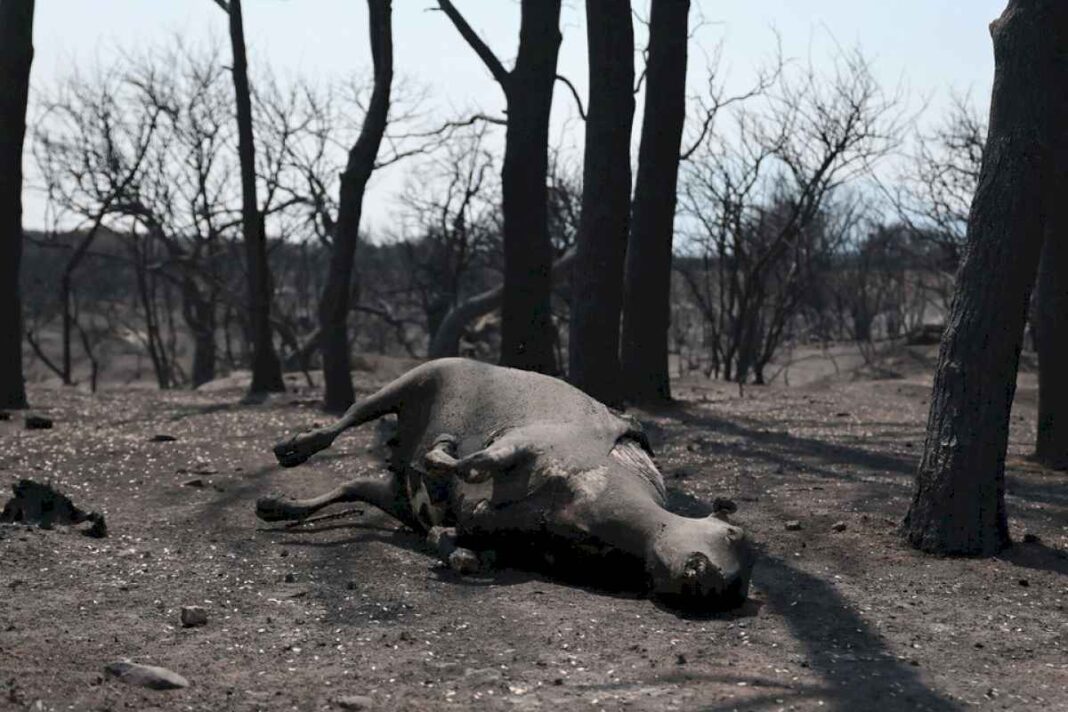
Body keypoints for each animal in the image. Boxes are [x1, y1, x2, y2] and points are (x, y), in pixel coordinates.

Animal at [261, 358, 756, 610]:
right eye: (734, 532)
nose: (710, 582)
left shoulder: (496, 529)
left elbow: (456, 534)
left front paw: (460, 552)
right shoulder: (523, 441)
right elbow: (471, 462)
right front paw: (443, 452)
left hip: (392, 494)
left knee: (350, 486)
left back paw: (277, 505)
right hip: (412, 380)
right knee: (347, 418)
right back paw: (293, 448)